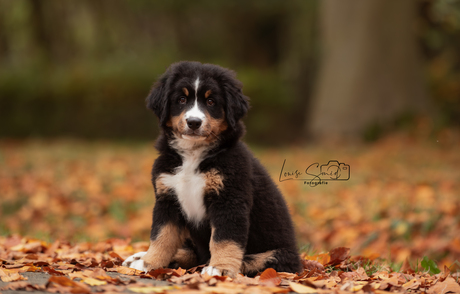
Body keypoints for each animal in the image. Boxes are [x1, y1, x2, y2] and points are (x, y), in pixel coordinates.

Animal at [122, 60, 302, 276]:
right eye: (181, 99)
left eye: (210, 102)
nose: (193, 122)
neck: (193, 155)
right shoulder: (167, 197)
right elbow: (162, 235)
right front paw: (149, 262)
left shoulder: (229, 200)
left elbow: (224, 239)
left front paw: (221, 268)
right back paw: (139, 256)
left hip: (278, 256)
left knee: (250, 261)